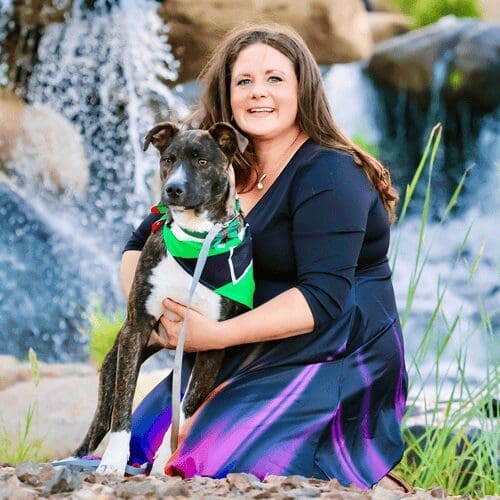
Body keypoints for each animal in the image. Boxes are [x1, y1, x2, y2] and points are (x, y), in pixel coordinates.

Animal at [72, 122, 252, 475]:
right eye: (168, 159)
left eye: (201, 161)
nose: (172, 189)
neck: (195, 239)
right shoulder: (136, 329)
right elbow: (123, 406)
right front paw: (114, 461)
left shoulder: (212, 343)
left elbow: (184, 409)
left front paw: (161, 466)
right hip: (112, 365)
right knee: (101, 419)